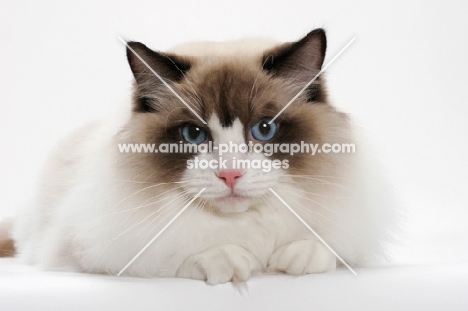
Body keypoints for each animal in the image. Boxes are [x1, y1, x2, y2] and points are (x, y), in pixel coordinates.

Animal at [5, 29, 396, 286]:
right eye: (193, 134)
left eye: (264, 129)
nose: (230, 175)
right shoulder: (99, 252)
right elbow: (178, 255)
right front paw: (229, 260)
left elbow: (324, 250)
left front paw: (294, 258)